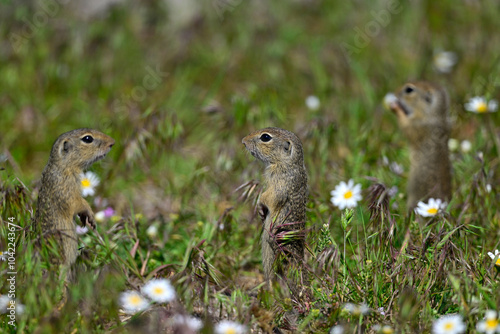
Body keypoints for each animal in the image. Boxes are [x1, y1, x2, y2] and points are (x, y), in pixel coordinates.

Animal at [35, 128, 114, 272]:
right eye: (88, 139)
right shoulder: (66, 190)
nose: (112, 142)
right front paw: (90, 216)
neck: (62, 166)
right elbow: (77, 202)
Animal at [243, 126, 308, 280]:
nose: (243, 141)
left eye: (265, 137)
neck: (289, 163)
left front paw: (260, 205)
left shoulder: (278, 185)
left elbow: (268, 197)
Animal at [386, 81, 454, 209]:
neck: (435, 115)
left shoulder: (417, 125)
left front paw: (395, 107)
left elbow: (406, 126)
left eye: (409, 89)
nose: (396, 92)